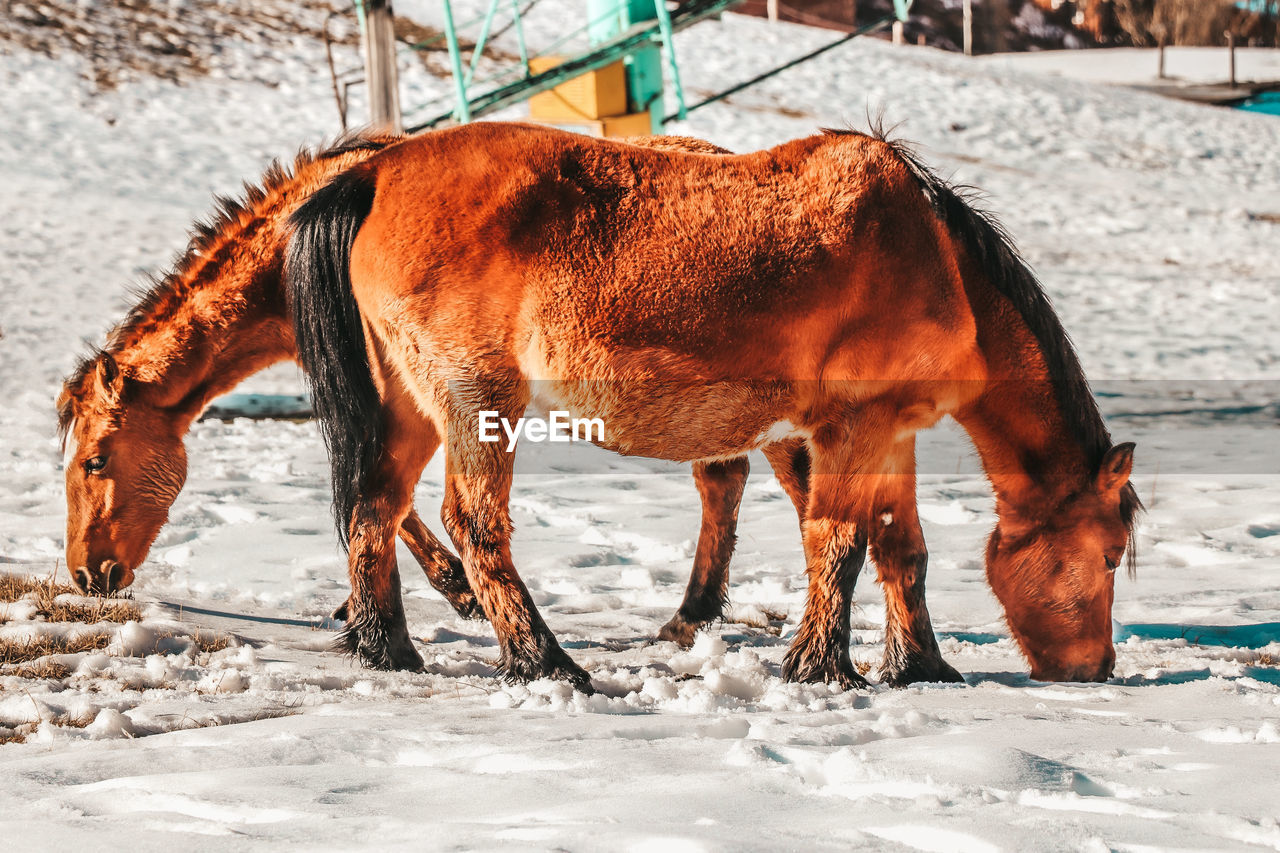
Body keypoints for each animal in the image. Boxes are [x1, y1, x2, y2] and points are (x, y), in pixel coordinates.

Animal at [57, 131, 839, 666]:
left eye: (95, 461)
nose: (88, 574)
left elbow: (384, 500)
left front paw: (450, 589)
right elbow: (380, 497)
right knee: (727, 479)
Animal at [288, 121, 1141, 691]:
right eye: (1106, 553)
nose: (1097, 667)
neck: (937, 258)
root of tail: (372, 177)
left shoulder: (892, 433)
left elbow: (903, 550)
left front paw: (921, 665)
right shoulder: (853, 429)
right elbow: (839, 541)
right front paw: (821, 666)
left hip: (409, 405)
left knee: (375, 506)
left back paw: (389, 648)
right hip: (474, 402)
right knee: (472, 522)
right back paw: (545, 660)